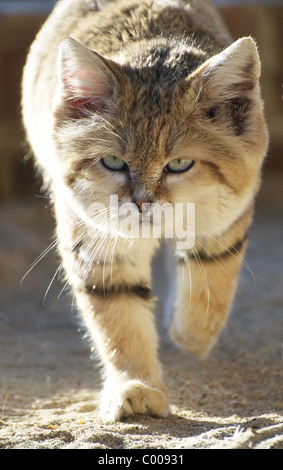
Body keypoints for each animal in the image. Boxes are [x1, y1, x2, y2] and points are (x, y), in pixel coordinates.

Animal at [21, 0, 268, 418]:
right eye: (113, 162)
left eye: (180, 164)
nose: (141, 203)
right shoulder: (96, 240)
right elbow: (120, 322)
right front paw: (135, 386)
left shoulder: (226, 218)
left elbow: (209, 286)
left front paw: (189, 335)